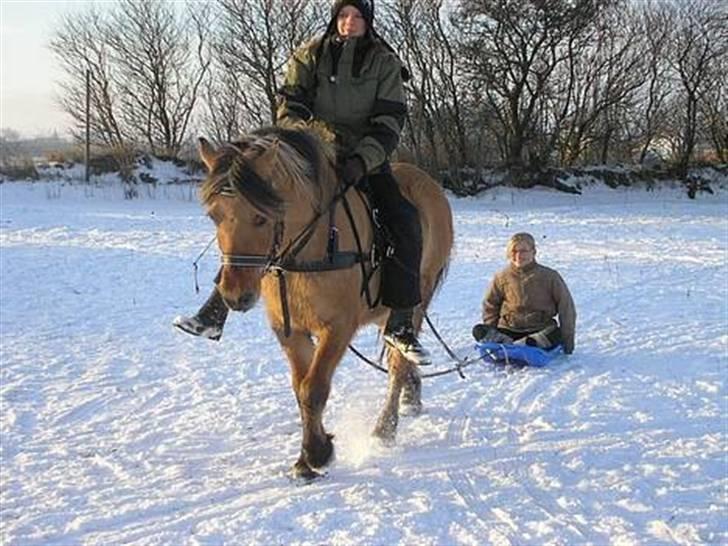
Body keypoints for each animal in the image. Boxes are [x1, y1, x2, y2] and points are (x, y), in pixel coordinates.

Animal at [196, 125, 452, 478]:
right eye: (214, 216)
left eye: (261, 217)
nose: (235, 295)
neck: (309, 250)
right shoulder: (290, 329)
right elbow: (300, 386)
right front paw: (310, 455)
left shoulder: (337, 328)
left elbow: (313, 389)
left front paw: (315, 455)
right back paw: (410, 398)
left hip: (417, 301)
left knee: (398, 365)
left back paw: (385, 428)